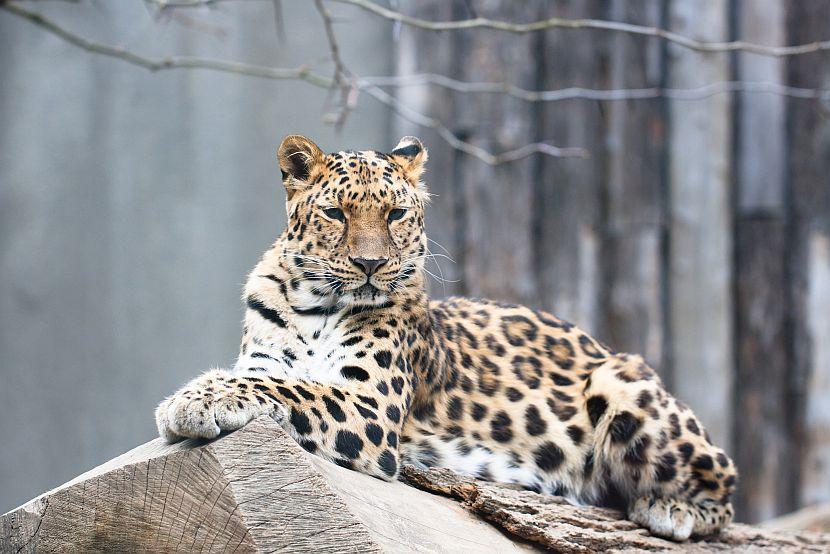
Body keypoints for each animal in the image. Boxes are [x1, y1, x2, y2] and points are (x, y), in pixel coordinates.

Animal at [158, 134, 740, 540]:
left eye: (395, 213)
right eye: (335, 214)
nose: (371, 264)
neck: (314, 306)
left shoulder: (370, 405)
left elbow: (292, 389)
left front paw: (192, 399)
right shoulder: (267, 362)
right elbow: (271, 380)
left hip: (622, 381)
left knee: (726, 483)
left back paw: (673, 508)